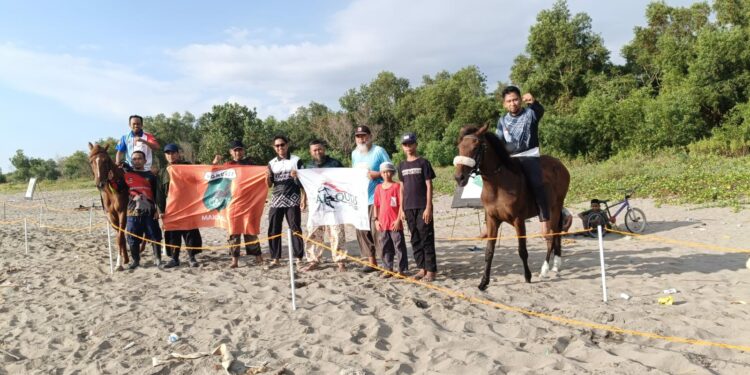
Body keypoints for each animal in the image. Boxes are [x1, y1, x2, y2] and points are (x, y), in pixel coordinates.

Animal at [456, 124, 572, 290]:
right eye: (460, 147)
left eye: (476, 147)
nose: (459, 177)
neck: (498, 185)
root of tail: (561, 165)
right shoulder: (492, 220)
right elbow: (489, 251)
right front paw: (484, 282)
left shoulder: (518, 220)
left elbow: (522, 250)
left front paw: (527, 276)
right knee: (556, 234)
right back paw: (556, 265)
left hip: (554, 208)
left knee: (552, 235)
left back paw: (545, 269)